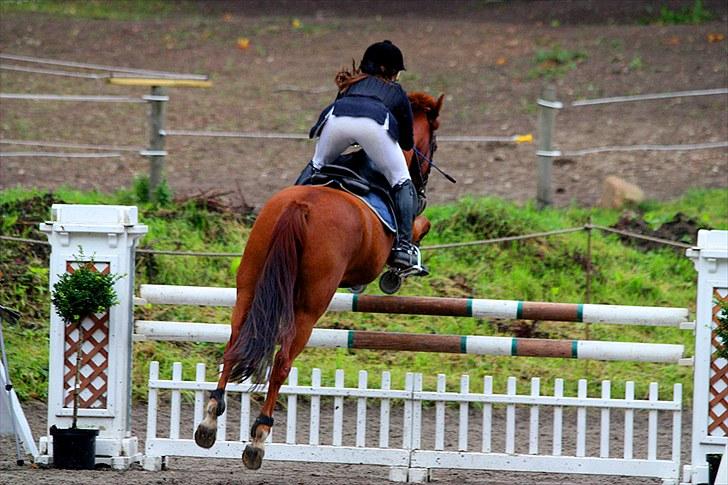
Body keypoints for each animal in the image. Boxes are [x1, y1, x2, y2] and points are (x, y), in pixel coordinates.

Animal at [193, 91, 444, 468]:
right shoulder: (403, 227)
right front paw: (401, 269)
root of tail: (300, 206)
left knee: (234, 341)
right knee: (283, 362)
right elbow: (418, 227)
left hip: (249, 286)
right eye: (436, 142)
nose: (424, 187)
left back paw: (209, 420)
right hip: (310, 307)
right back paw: (258, 439)